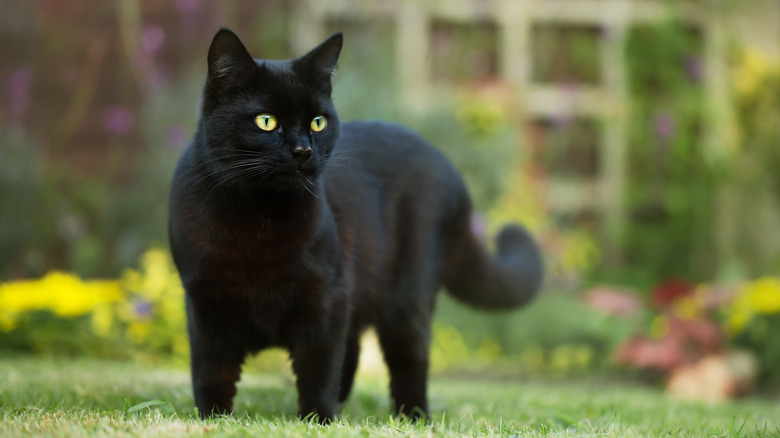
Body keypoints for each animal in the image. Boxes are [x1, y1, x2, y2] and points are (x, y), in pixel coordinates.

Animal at [168, 28, 544, 424]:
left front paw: (317, 420)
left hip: (406, 296)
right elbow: (210, 369)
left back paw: (413, 416)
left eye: (318, 122)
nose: (303, 150)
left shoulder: (327, 297)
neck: (257, 221)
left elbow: (318, 367)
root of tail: (449, 168)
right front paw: (213, 419)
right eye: (266, 121)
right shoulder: (204, 301)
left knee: (407, 357)